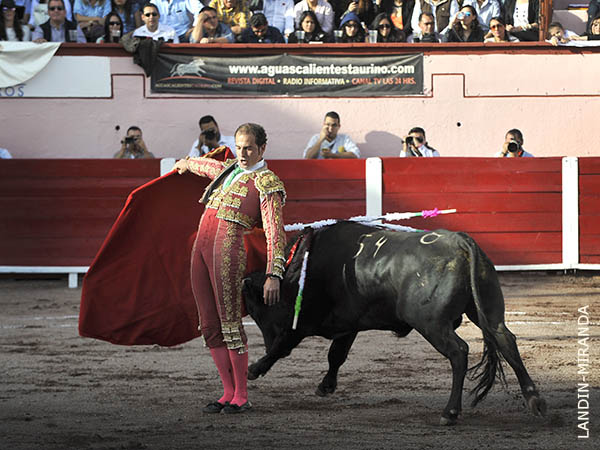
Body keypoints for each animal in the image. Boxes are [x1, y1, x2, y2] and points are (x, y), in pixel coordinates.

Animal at [244, 222, 548, 426]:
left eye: (258, 311)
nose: (265, 340)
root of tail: (462, 243)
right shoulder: (348, 325)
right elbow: (336, 355)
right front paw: (326, 386)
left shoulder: (303, 322)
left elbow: (283, 347)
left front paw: (254, 369)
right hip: (487, 309)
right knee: (505, 339)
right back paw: (535, 400)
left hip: (430, 323)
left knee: (459, 352)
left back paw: (450, 412)